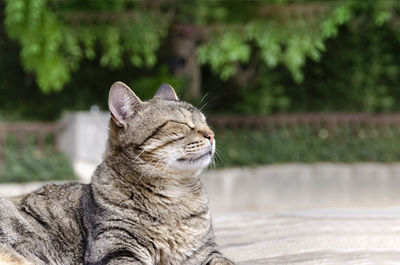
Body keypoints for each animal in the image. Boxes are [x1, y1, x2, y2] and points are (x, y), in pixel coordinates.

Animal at [0, 81, 234, 262]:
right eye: (181, 123)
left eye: (205, 121)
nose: (211, 134)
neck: (176, 195)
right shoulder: (117, 250)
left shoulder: (205, 252)